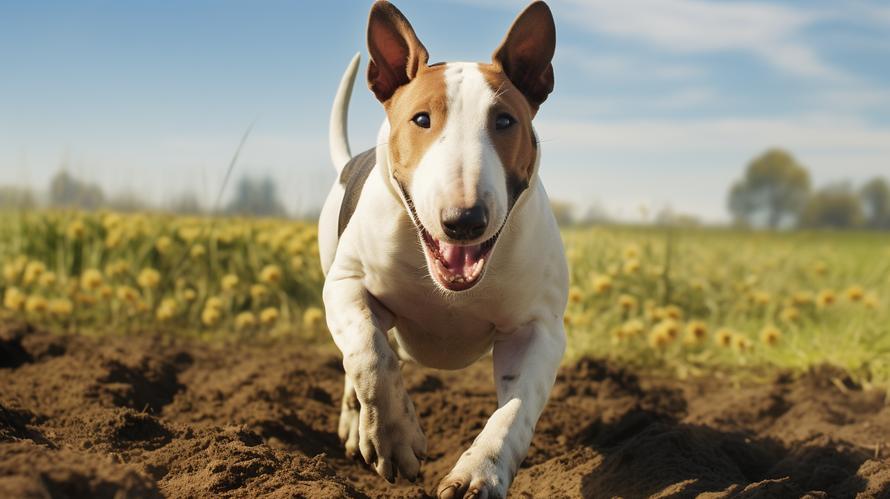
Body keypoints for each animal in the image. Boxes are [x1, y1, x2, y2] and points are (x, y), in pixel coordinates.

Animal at [320, 1, 564, 498]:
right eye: (421, 119)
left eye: (505, 121)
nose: (464, 220)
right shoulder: (344, 284)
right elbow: (369, 354)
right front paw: (393, 439)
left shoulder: (541, 329)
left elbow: (514, 411)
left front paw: (478, 474)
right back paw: (354, 426)